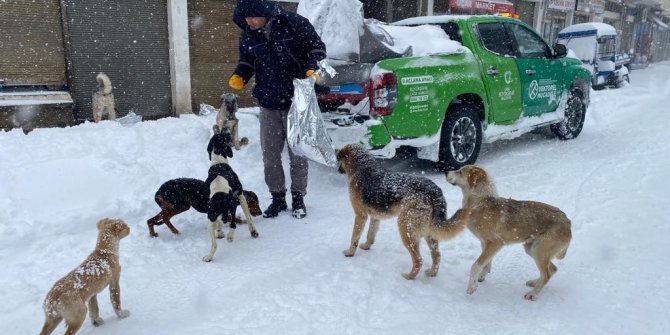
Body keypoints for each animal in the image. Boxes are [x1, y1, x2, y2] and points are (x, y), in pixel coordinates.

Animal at [202, 133, 260, 264]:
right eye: (223, 136)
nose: (229, 133)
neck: (217, 160)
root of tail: (221, 198)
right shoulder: (241, 195)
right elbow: (249, 217)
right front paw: (253, 232)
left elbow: (220, 222)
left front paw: (220, 232)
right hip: (233, 206)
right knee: (233, 224)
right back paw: (230, 236)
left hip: (210, 220)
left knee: (214, 244)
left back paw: (209, 257)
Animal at [336, 144, 468, 280]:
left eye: (339, 159)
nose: (338, 170)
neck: (362, 167)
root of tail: (435, 191)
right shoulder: (375, 217)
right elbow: (370, 235)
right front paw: (367, 246)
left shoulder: (360, 216)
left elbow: (354, 238)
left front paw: (350, 253)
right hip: (428, 232)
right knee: (437, 256)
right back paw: (432, 273)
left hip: (405, 228)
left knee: (419, 259)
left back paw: (409, 276)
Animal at [448, 166, 576, 302]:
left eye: (460, 171)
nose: (446, 172)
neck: (481, 201)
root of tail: (567, 221)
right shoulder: (485, 244)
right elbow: (486, 263)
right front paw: (481, 277)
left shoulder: (495, 243)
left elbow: (476, 266)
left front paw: (471, 287)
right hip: (531, 248)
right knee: (552, 270)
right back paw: (535, 283)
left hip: (539, 250)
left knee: (546, 274)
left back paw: (533, 294)